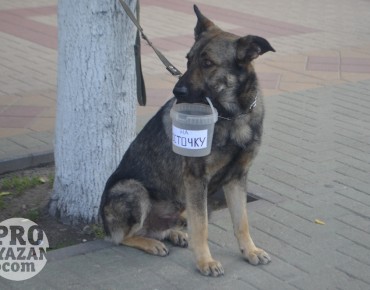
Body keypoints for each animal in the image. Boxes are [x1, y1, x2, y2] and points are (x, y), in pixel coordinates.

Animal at [99, 4, 276, 276]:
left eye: (208, 63)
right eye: (188, 60)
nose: (177, 91)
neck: (230, 116)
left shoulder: (236, 178)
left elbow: (241, 221)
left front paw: (250, 250)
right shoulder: (196, 179)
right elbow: (201, 226)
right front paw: (205, 262)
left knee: (164, 227)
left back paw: (173, 234)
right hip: (132, 189)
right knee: (122, 237)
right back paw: (150, 243)